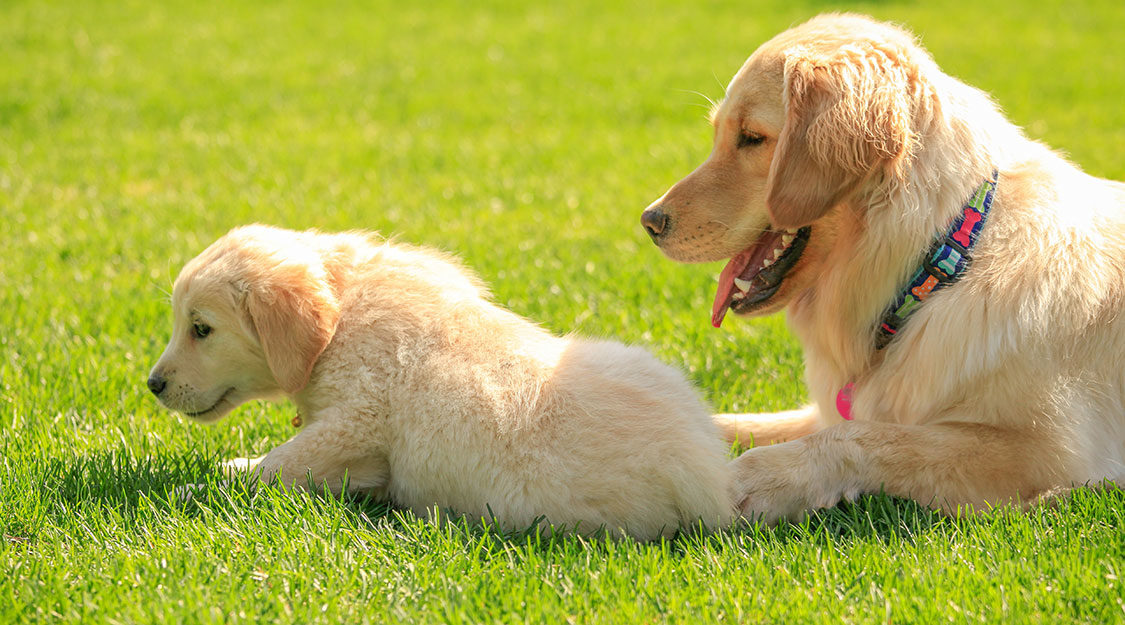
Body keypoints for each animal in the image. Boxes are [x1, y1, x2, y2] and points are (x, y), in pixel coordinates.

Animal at [147, 225, 729, 541]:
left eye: (201, 329)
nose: (152, 384)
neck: (342, 314)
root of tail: (708, 474)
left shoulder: (356, 424)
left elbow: (277, 464)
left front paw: (199, 486)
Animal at [643, 13, 1125, 521]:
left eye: (752, 138)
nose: (649, 221)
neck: (938, 267)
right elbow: (735, 423)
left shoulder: (1042, 449)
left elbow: (860, 436)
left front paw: (757, 476)